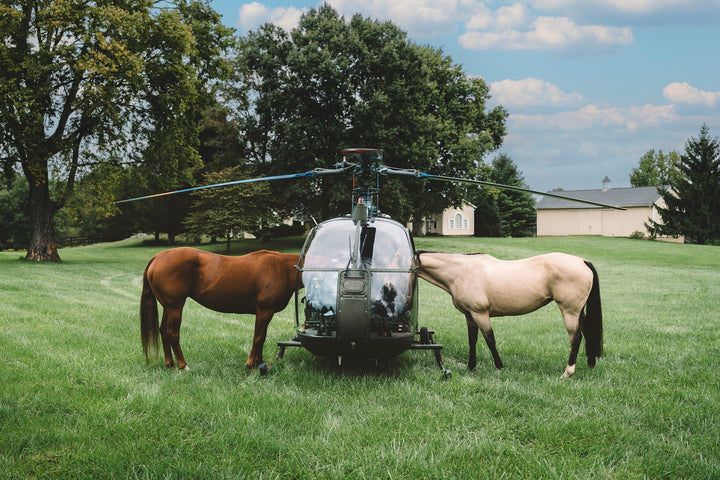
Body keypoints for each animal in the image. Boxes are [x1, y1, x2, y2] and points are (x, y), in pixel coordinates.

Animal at [140, 247, 302, 370]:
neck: (281, 269)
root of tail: (157, 257)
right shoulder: (264, 311)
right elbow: (258, 337)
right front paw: (251, 365)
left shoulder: (266, 313)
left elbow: (262, 337)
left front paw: (259, 363)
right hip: (175, 307)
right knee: (172, 334)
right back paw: (183, 365)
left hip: (168, 307)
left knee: (163, 331)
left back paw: (170, 364)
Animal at [415, 251, 603, 377]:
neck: (461, 271)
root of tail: (582, 261)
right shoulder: (469, 315)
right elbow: (472, 340)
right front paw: (470, 367)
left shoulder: (480, 313)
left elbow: (490, 340)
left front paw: (499, 367)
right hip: (578, 312)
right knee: (587, 333)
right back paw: (591, 364)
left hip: (569, 311)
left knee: (576, 338)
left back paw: (568, 372)